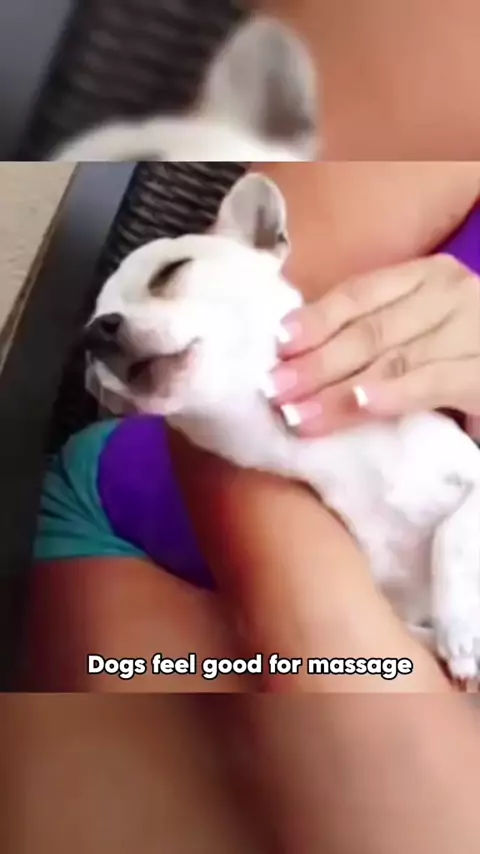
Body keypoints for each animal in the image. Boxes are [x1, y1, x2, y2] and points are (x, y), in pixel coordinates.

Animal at [84, 172, 480, 683]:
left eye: (170, 272)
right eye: (89, 339)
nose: (97, 331)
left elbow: (456, 531)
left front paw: (461, 625)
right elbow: (415, 624)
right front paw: (454, 640)